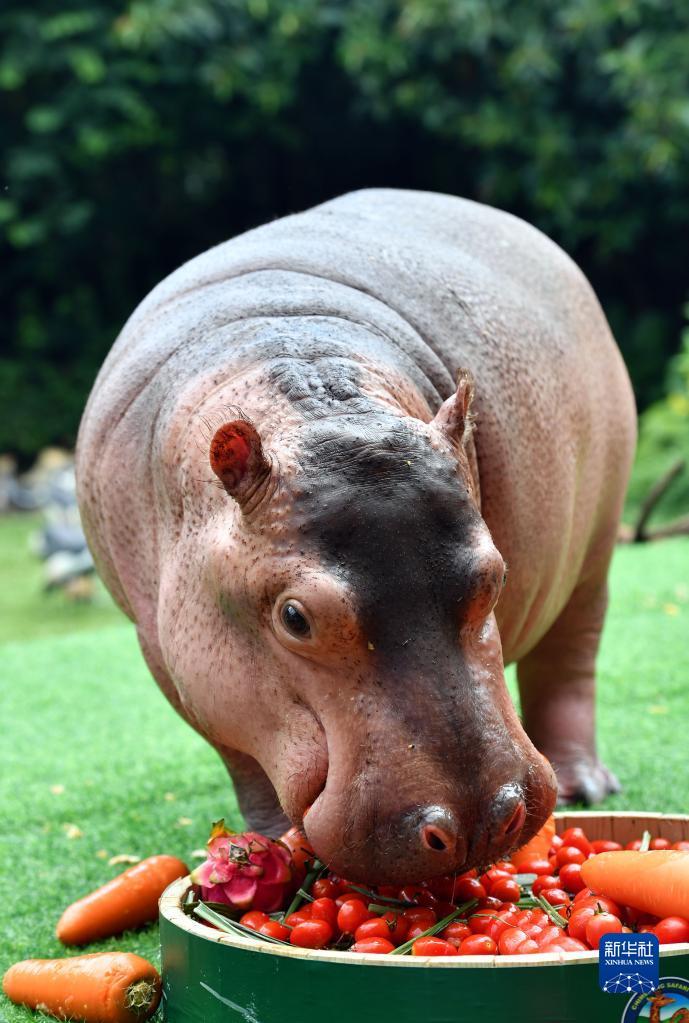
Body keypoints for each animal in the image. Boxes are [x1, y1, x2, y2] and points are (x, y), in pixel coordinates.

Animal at [76, 188, 633, 883]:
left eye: (496, 576)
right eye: (294, 617)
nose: (478, 823)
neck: (315, 397)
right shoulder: (184, 666)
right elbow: (246, 764)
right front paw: (270, 841)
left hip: (596, 549)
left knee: (570, 659)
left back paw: (589, 786)